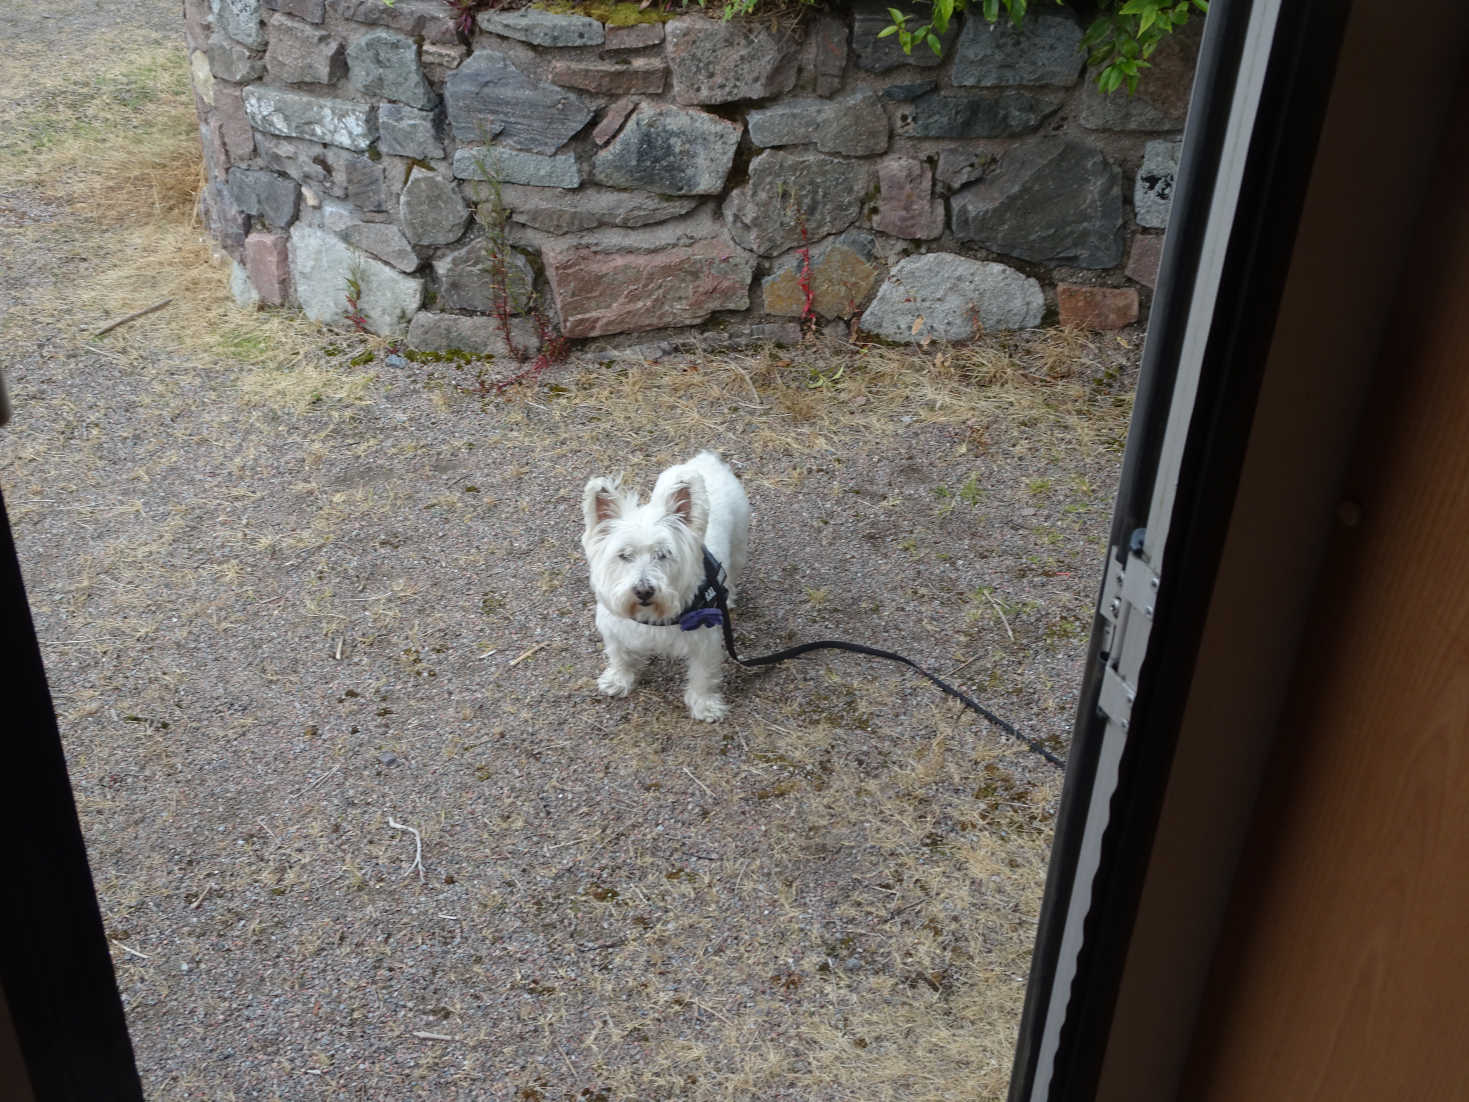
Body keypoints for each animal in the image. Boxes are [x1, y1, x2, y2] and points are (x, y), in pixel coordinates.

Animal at [578, 449, 752, 725]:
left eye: (663, 554)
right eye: (624, 555)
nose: (643, 591)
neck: (652, 616)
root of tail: (706, 459)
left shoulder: (705, 640)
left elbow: (703, 676)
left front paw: (705, 705)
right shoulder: (614, 628)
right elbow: (619, 655)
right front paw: (618, 680)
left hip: (738, 546)